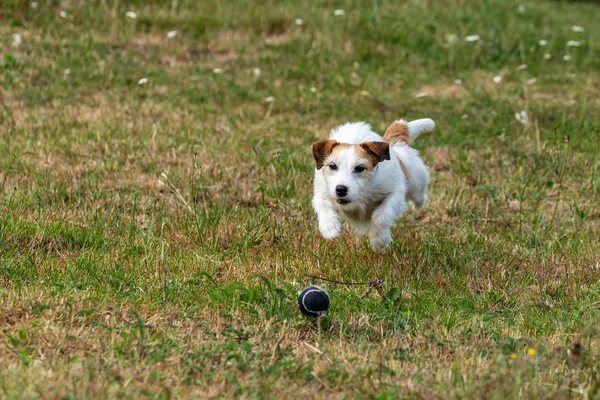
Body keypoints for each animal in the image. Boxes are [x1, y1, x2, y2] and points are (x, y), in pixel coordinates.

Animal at [312, 117, 434, 252]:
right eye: (332, 166)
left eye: (360, 168)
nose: (341, 189)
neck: (363, 191)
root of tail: (392, 144)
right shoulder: (322, 191)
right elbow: (323, 205)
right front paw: (330, 228)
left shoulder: (394, 193)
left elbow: (381, 216)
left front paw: (379, 241)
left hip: (417, 183)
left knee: (419, 195)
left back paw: (419, 203)